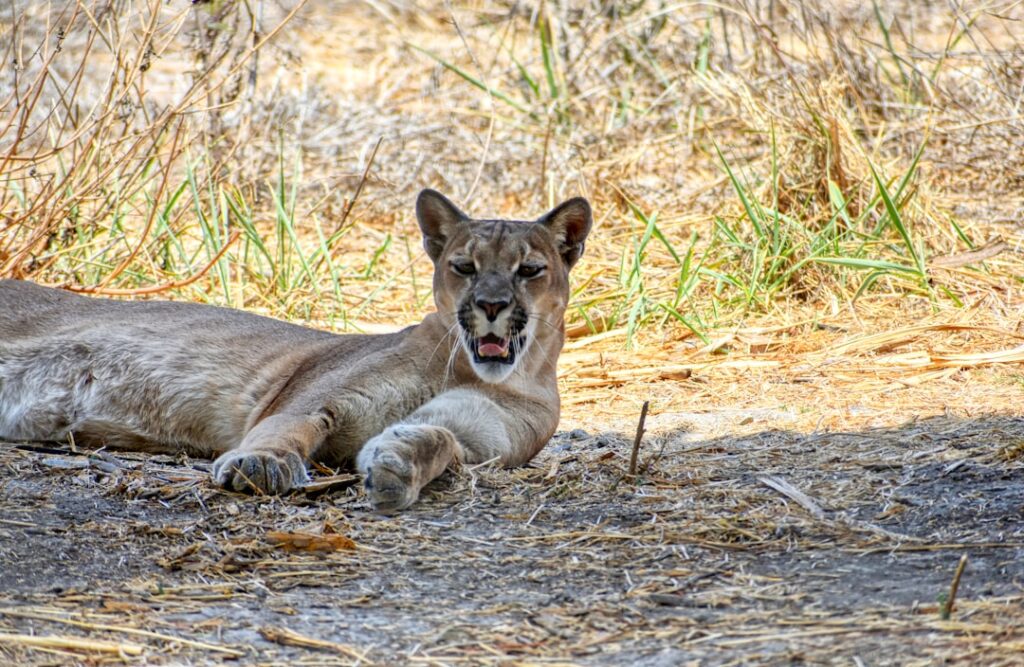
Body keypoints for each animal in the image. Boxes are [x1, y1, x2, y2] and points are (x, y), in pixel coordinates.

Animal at [0, 190, 592, 511]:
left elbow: (439, 441)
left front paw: (396, 463)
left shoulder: (479, 439)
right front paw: (261, 464)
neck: (472, 371)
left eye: (529, 270)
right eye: (464, 266)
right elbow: (290, 427)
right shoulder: (316, 394)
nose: (491, 304)